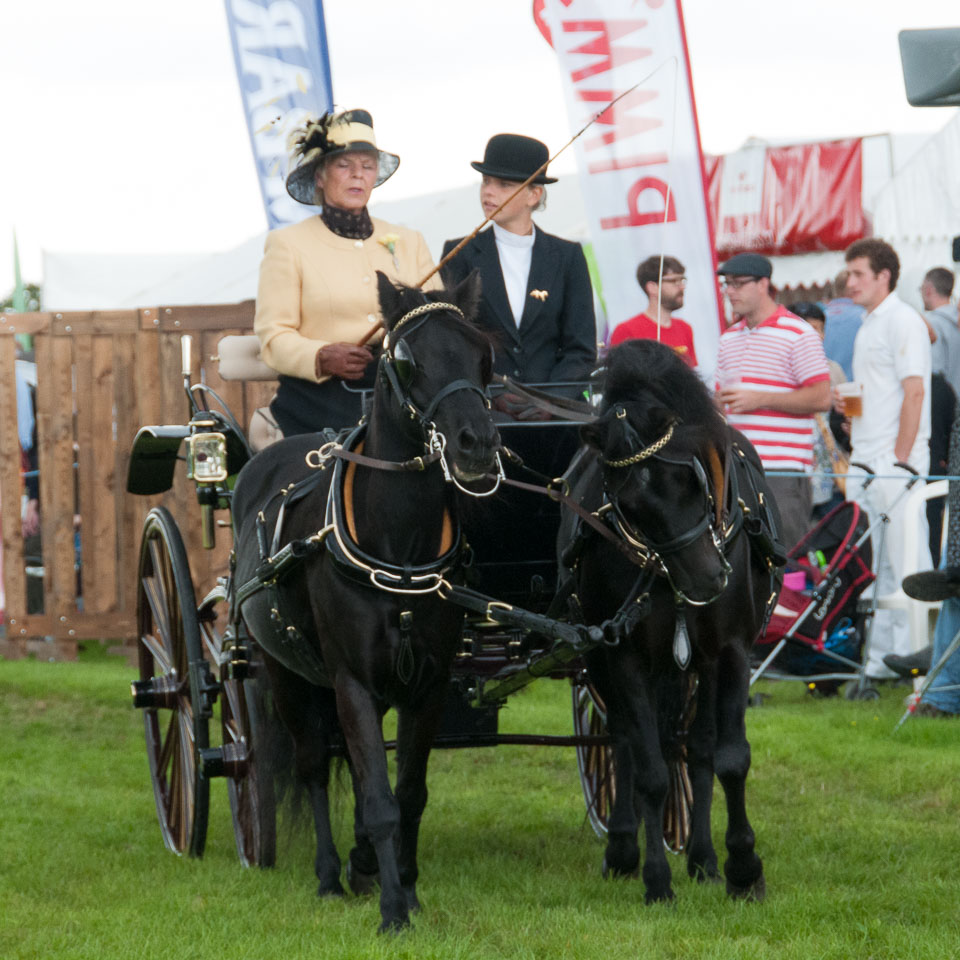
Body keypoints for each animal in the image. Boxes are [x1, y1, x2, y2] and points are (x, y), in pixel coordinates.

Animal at [232, 270, 498, 928]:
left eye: (483, 353)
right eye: (405, 358)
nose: (476, 444)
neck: (397, 544)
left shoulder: (427, 681)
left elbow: (408, 793)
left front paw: (406, 884)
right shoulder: (350, 678)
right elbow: (376, 795)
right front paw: (393, 910)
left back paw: (358, 864)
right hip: (284, 673)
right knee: (310, 766)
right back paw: (330, 874)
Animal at [564, 342, 780, 904]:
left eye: (690, 477)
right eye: (626, 502)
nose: (707, 579)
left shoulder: (730, 651)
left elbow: (728, 758)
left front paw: (743, 868)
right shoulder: (623, 654)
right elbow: (650, 772)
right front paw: (656, 881)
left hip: (697, 665)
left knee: (696, 748)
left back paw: (703, 858)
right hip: (606, 660)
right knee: (622, 739)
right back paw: (623, 847)